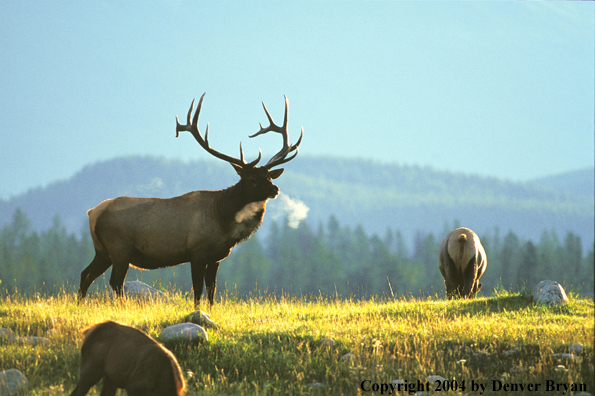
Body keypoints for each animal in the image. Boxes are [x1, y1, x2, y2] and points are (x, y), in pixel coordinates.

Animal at [76, 93, 302, 306]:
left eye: (270, 176)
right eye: (253, 179)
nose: (275, 189)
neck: (223, 222)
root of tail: (92, 213)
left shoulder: (216, 257)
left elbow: (212, 290)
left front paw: (210, 310)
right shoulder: (197, 251)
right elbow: (198, 289)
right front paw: (197, 309)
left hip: (102, 250)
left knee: (85, 274)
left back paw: (80, 303)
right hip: (119, 247)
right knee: (115, 282)